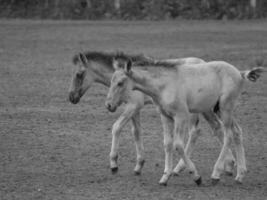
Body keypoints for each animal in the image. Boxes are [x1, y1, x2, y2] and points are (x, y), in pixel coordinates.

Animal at [68, 50, 221, 176]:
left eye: (78, 74)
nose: (71, 97)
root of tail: (204, 63)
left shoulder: (133, 106)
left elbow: (116, 127)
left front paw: (114, 164)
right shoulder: (134, 109)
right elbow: (136, 132)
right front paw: (139, 166)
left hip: (194, 111)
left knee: (195, 132)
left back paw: (179, 168)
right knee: (215, 126)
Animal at [105, 55, 264, 186]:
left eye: (120, 83)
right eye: (111, 81)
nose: (109, 105)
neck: (164, 85)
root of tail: (239, 73)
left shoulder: (180, 116)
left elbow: (178, 145)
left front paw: (196, 176)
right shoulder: (165, 116)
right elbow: (167, 144)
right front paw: (165, 177)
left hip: (225, 108)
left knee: (228, 135)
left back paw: (216, 174)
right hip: (219, 110)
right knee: (236, 132)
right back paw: (240, 175)